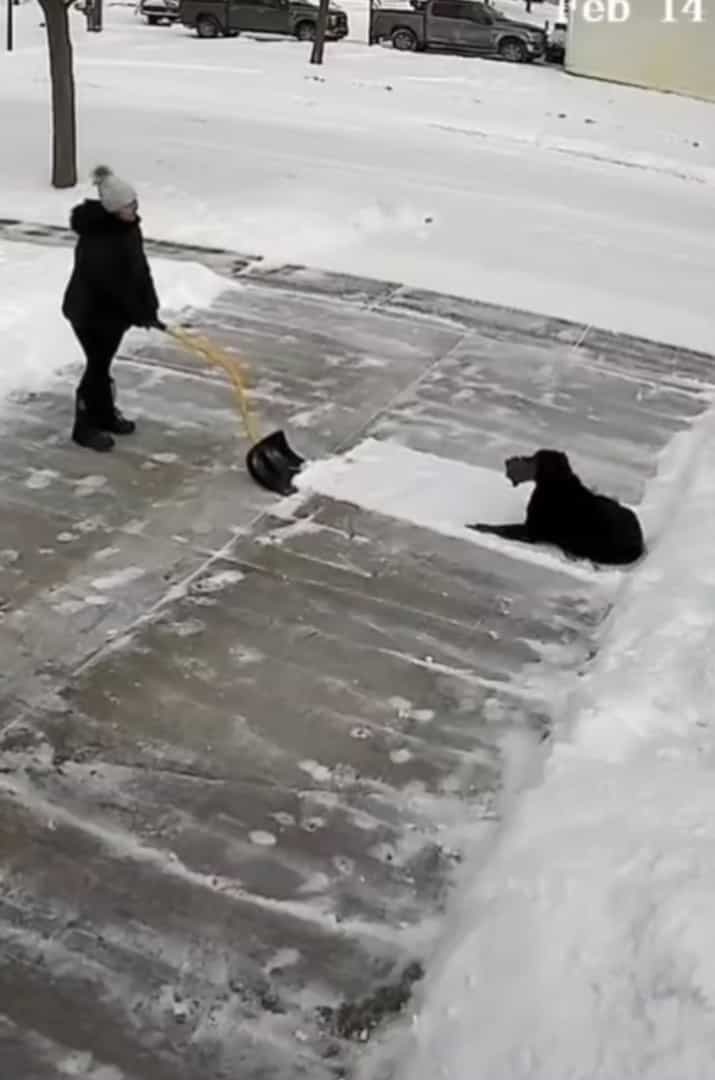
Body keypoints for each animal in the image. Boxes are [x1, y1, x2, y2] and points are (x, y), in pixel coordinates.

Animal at [470, 447, 648, 565]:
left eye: (534, 458)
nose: (508, 460)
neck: (555, 485)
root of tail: (640, 541)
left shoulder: (531, 531)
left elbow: (501, 528)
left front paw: (478, 526)